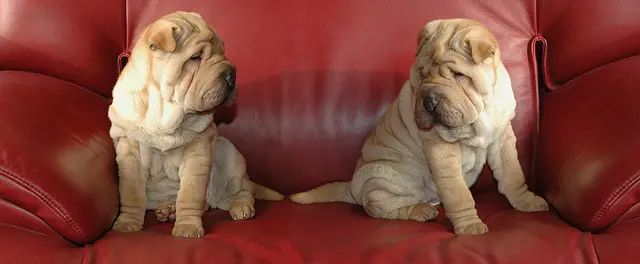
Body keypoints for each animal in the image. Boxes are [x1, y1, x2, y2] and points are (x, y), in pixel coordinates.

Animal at [109, 10, 284, 238]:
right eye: (195, 57)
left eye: (223, 53)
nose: (232, 74)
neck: (165, 112)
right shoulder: (130, 152)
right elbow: (131, 194)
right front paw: (127, 224)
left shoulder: (198, 150)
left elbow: (190, 194)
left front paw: (187, 228)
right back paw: (168, 209)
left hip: (230, 157)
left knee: (241, 192)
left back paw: (241, 208)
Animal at [292, 19, 548, 235]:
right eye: (422, 75)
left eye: (458, 75)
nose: (429, 101)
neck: (481, 111)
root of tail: (352, 187)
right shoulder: (442, 150)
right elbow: (459, 194)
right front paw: (470, 227)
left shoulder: (502, 138)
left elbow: (513, 175)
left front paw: (526, 202)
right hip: (388, 178)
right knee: (381, 207)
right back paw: (420, 210)